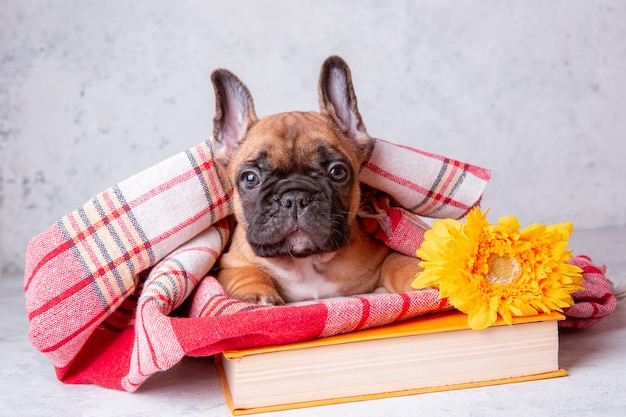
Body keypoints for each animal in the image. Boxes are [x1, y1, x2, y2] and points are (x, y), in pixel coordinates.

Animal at [210, 55, 420, 304]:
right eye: (250, 178)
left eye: (337, 172)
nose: (295, 197)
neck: (305, 262)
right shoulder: (230, 264)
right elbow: (245, 272)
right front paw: (257, 292)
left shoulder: (382, 254)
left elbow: (397, 261)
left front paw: (418, 276)